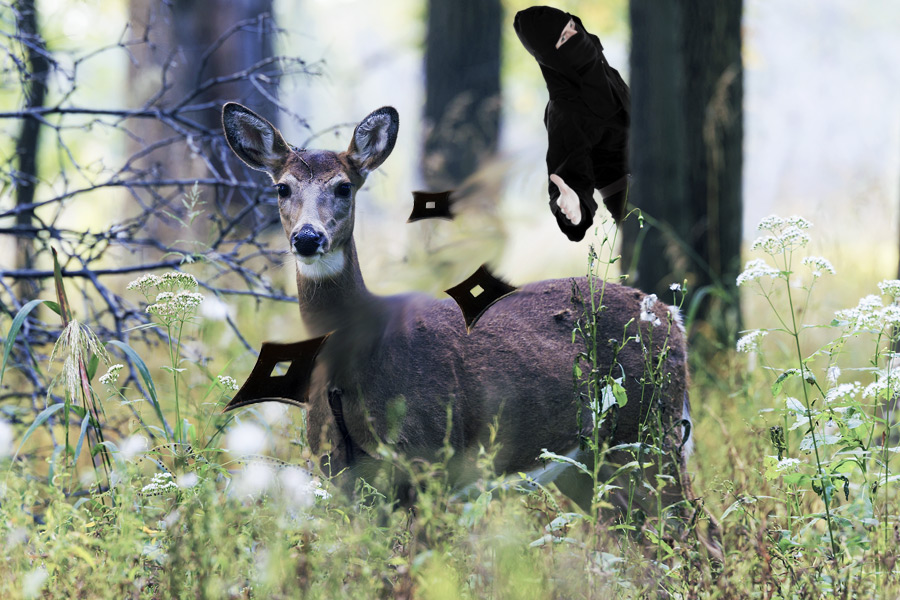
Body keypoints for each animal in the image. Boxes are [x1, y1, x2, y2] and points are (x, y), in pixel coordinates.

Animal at [221, 102, 718, 553]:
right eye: (281, 188)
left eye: (344, 187)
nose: (307, 237)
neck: (353, 374)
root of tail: (669, 316)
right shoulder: (339, 476)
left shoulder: (431, 461)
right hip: (588, 464)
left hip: (649, 432)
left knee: (700, 532)